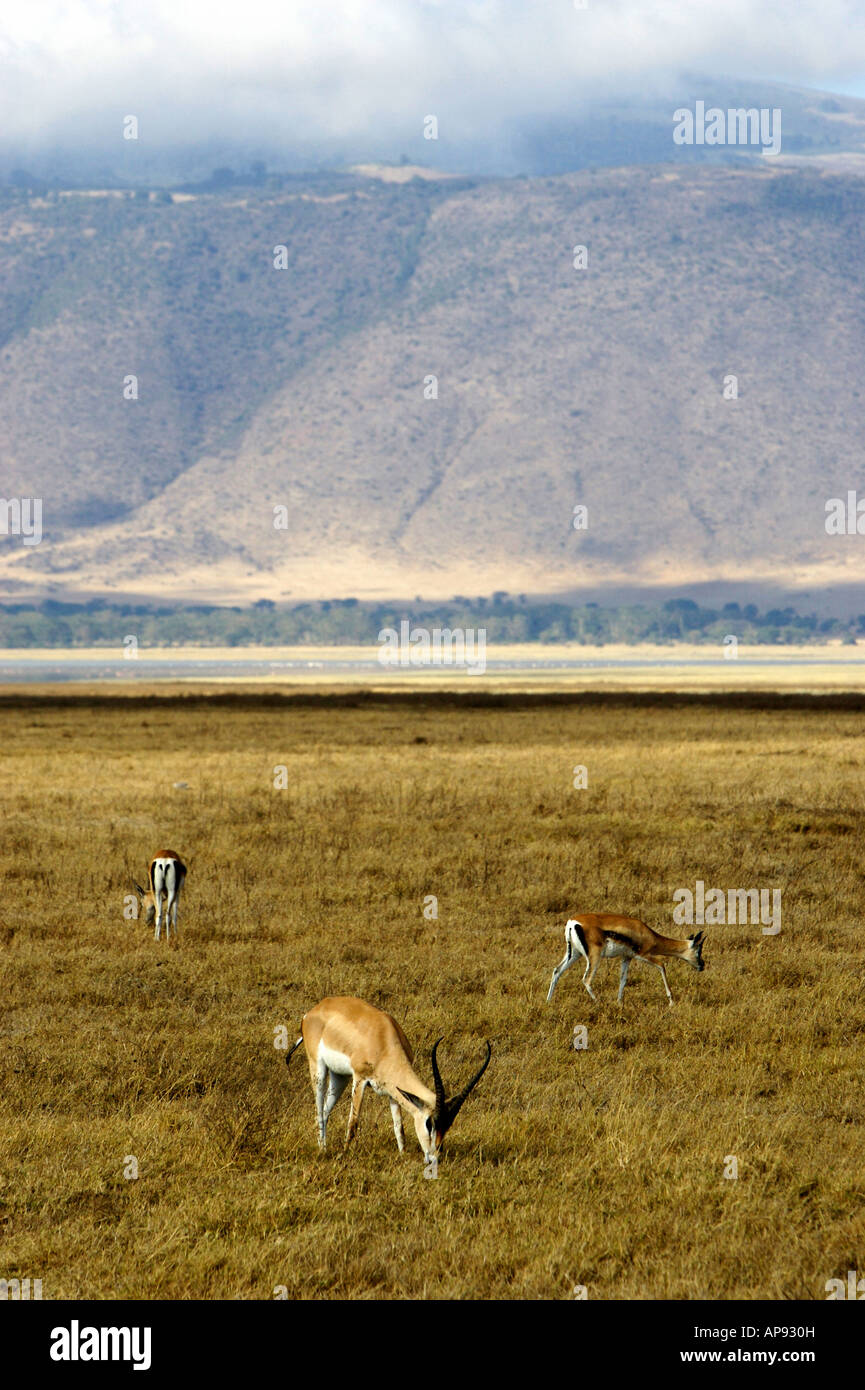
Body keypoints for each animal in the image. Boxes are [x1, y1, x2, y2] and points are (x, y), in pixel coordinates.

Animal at [285, 996, 491, 1166]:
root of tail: (313, 1011)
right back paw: (322, 1150)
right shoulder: (360, 1079)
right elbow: (353, 1123)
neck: (384, 1041)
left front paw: (402, 1155)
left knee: (326, 1111)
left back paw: (325, 1147)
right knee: (319, 1111)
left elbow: (399, 1127)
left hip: (340, 1077)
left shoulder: (392, 1090)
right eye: (429, 1123)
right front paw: (343, 1155)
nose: (434, 1158)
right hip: (319, 1070)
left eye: (448, 1126)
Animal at [546, 914, 706, 1007]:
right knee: (587, 979)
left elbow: (623, 980)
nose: (702, 965)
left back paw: (548, 1002)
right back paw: (600, 1004)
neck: (647, 934)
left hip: (574, 954)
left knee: (557, 971)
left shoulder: (626, 957)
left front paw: (619, 1003)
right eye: (698, 951)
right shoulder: (642, 955)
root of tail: (573, 922)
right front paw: (671, 1001)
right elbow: (662, 966)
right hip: (594, 957)